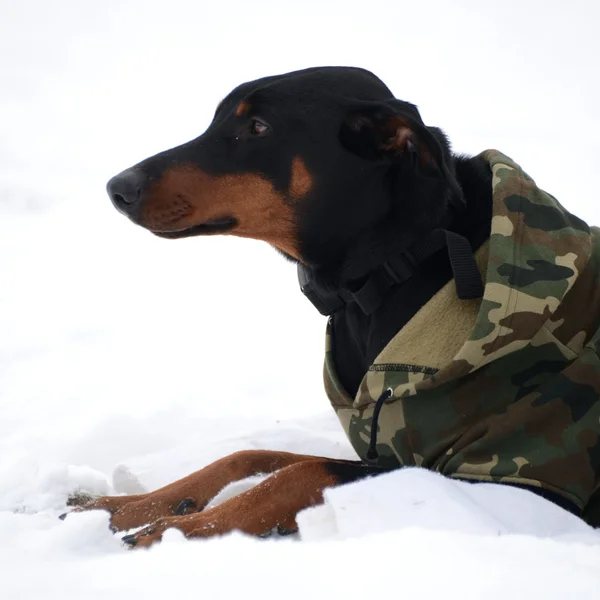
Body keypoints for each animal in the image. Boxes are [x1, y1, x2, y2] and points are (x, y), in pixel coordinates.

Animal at [82, 67, 496, 548]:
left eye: (259, 127)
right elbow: (249, 455)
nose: (117, 188)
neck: (395, 263)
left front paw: (174, 529)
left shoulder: (483, 475)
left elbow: (302, 472)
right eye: (216, 119)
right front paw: (123, 506)